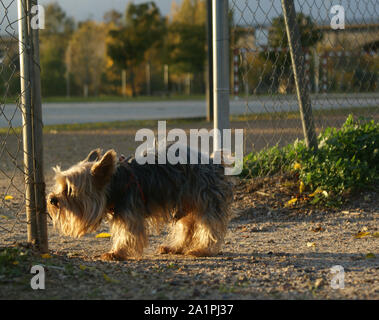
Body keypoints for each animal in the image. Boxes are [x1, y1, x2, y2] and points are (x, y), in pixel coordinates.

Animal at [46, 148, 233, 260]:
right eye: (59, 185)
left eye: (69, 189)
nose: (52, 199)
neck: (114, 183)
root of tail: (215, 164)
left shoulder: (129, 213)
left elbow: (128, 233)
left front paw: (117, 253)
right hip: (187, 203)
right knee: (187, 227)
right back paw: (175, 247)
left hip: (205, 199)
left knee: (209, 226)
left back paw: (202, 250)